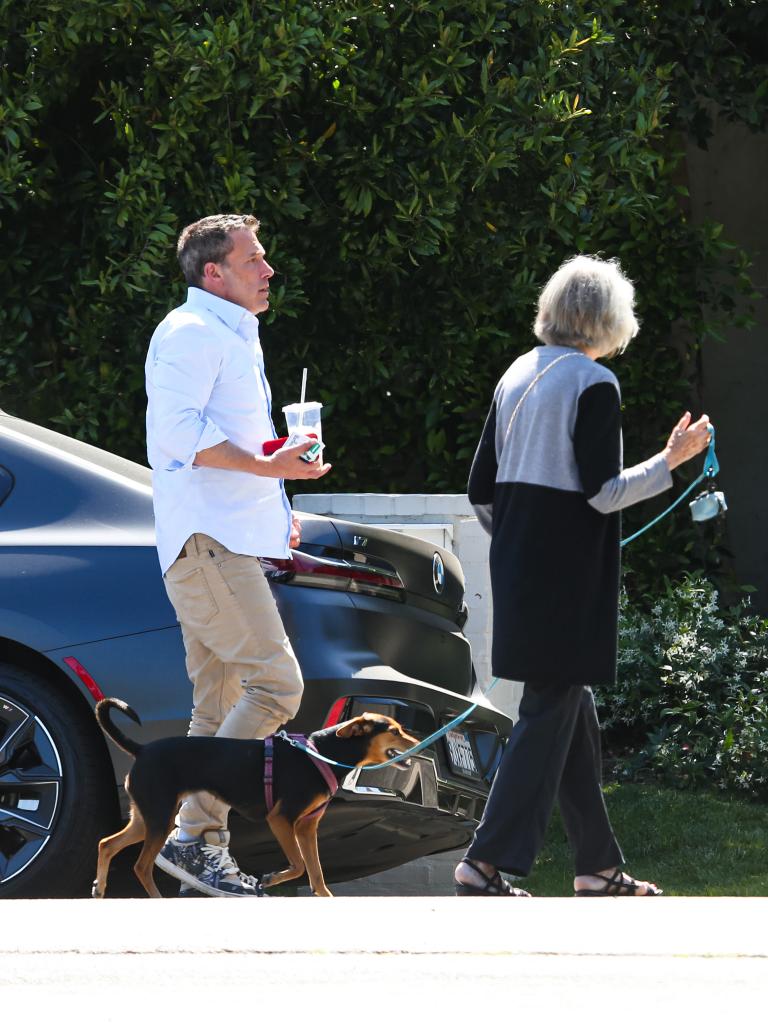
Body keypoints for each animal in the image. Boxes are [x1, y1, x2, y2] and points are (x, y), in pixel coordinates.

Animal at [92, 700, 417, 901]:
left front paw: (325, 897)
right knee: (141, 865)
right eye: (394, 730)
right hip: (159, 817)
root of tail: (142, 749)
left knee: (107, 844)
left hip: (147, 817)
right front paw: (271, 879)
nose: (417, 743)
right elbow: (299, 865)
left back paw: (99, 889)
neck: (323, 752)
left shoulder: (306, 827)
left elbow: (316, 871)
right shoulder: (281, 819)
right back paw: (156, 899)